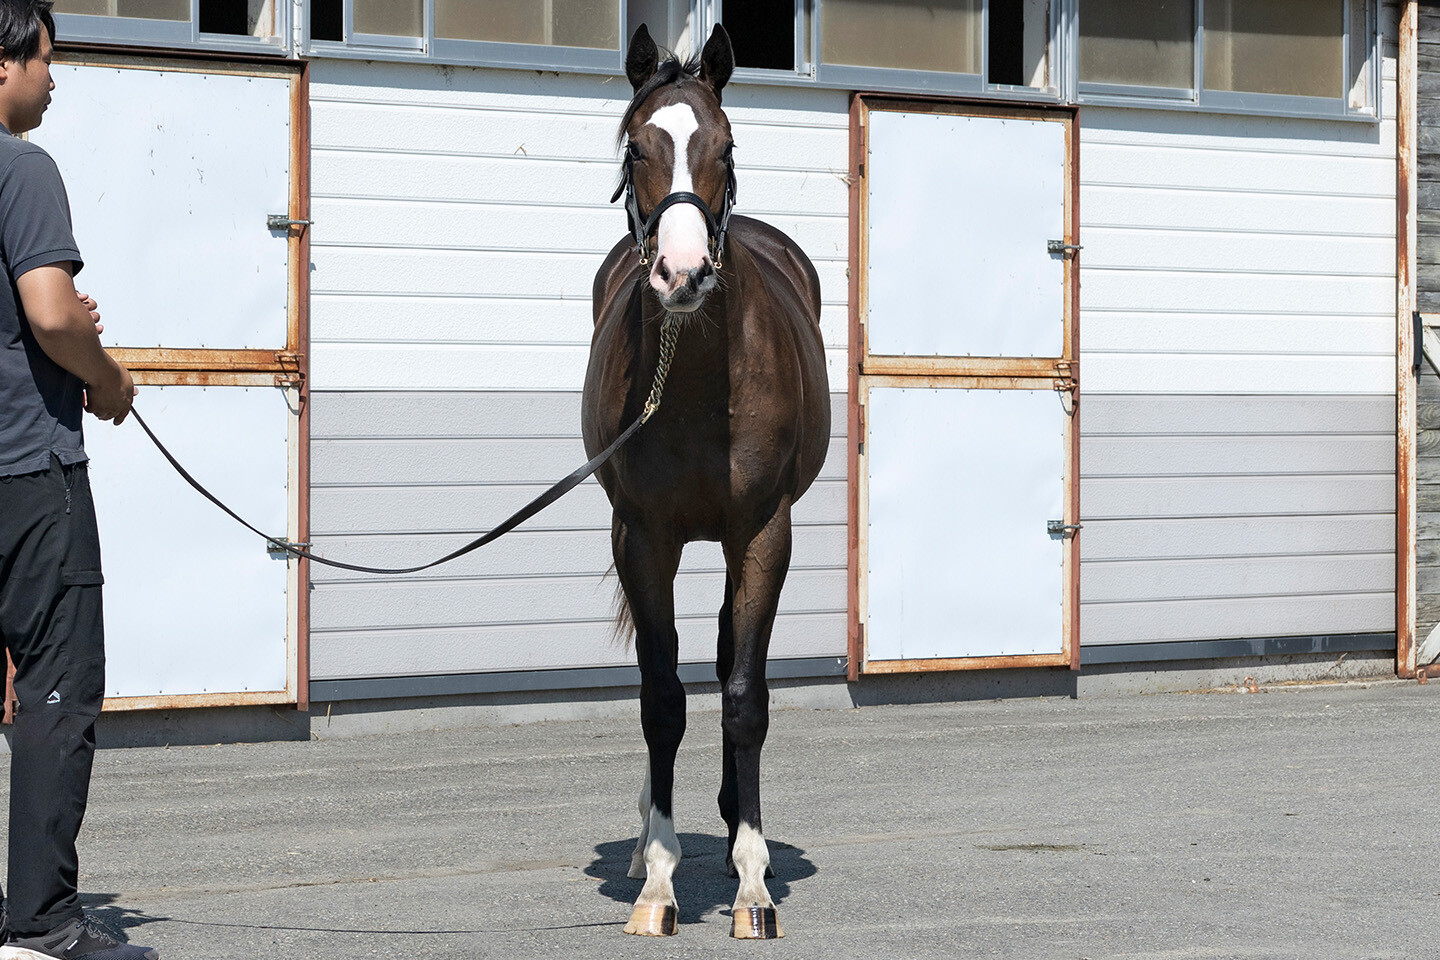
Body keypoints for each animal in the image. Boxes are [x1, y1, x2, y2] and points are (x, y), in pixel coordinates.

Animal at [580, 22, 830, 940]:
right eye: (635, 146)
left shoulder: (762, 531)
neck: (689, 382)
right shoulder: (642, 538)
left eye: (725, 145)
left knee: (728, 658)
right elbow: (660, 697)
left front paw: (753, 885)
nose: (682, 274)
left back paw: (730, 835)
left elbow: (744, 693)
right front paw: (656, 882)